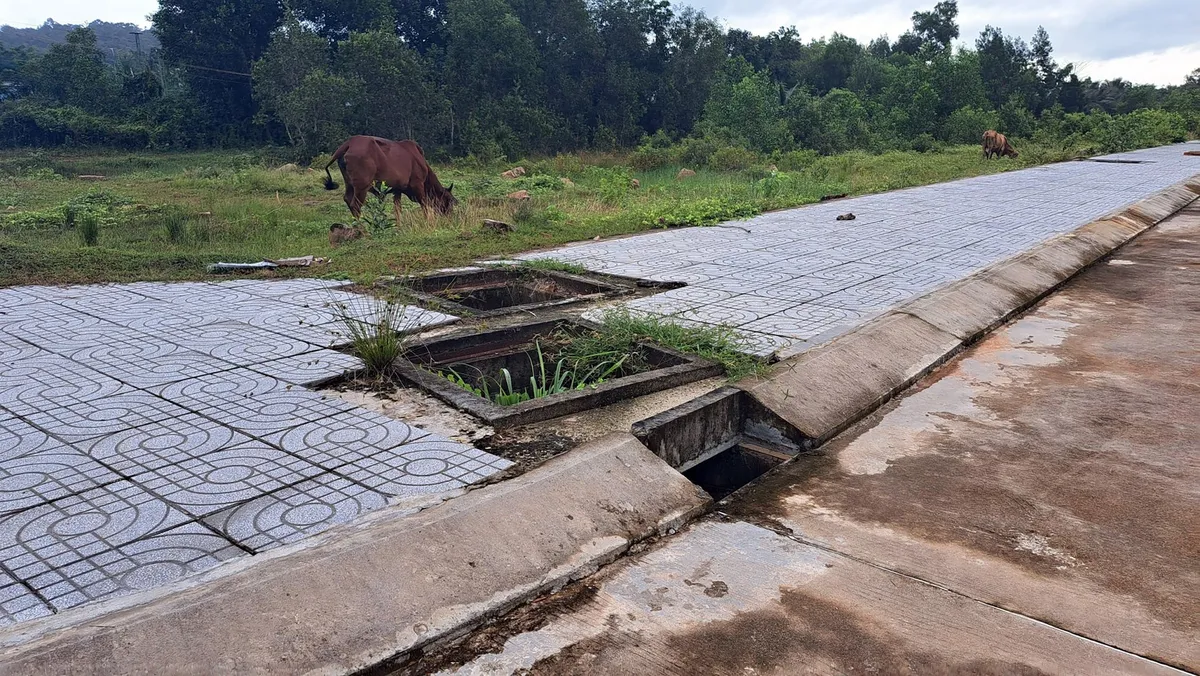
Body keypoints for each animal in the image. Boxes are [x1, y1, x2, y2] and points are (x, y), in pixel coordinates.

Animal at [321, 135, 456, 224]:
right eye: (448, 201)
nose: (450, 218)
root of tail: (349, 143)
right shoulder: (418, 184)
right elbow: (424, 203)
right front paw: (429, 220)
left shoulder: (398, 189)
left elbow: (397, 208)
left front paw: (399, 224)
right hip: (361, 186)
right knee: (355, 204)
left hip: (349, 184)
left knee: (348, 199)